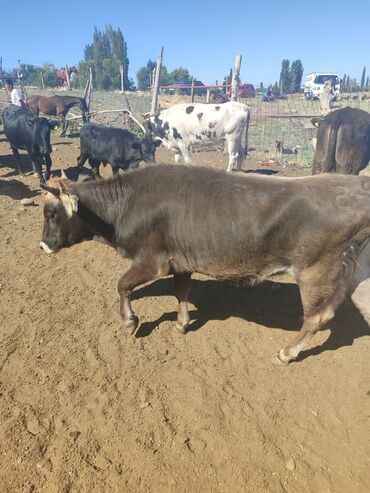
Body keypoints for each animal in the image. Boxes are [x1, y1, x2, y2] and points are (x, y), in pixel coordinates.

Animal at [39, 164, 370, 362]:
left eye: (51, 213)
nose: (42, 245)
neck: (125, 205)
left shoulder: (152, 261)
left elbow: (122, 285)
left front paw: (130, 320)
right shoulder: (181, 260)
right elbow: (182, 291)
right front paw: (182, 323)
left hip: (315, 270)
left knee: (316, 317)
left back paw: (288, 352)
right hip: (355, 270)